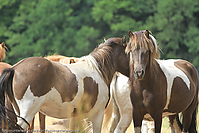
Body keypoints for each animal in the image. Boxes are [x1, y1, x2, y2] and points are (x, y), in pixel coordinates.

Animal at [0, 35, 129, 132]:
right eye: (129, 52)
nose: (134, 73)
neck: (98, 70)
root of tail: (14, 68)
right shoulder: (97, 115)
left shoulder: (78, 116)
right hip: (27, 114)